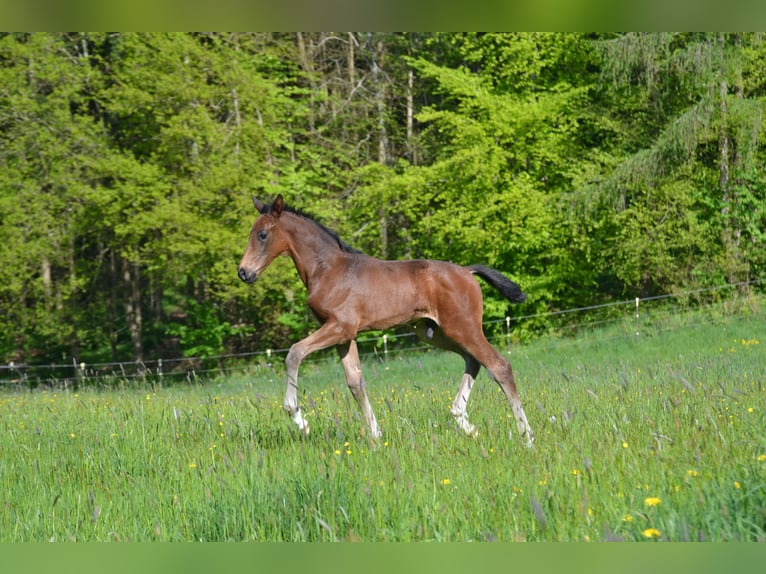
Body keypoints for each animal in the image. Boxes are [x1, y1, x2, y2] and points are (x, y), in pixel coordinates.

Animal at [238, 194, 534, 446]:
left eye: (262, 234)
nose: (244, 272)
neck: (328, 269)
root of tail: (467, 271)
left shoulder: (339, 327)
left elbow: (294, 353)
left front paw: (299, 418)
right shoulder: (345, 336)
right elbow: (355, 383)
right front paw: (376, 435)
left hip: (462, 327)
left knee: (499, 366)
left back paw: (526, 437)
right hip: (434, 332)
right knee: (473, 360)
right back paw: (463, 421)